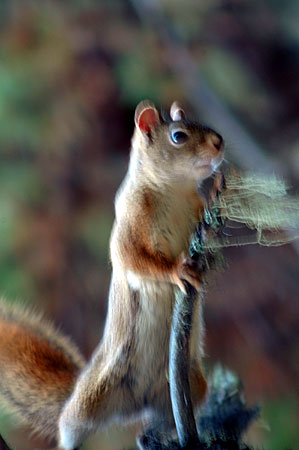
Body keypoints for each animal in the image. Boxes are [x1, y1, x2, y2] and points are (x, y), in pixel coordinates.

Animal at [0, 100, 225, 448]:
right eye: (178, 136)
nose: (219, 143)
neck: (174, 192)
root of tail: (136, 403)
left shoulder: (197, 217)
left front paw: (215, 192)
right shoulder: (130, 224)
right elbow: (134, 259)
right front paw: (177, 270)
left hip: (191, 388)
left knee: (157, 424)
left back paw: (159, 435)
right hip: (91, 400)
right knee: (69, 423)